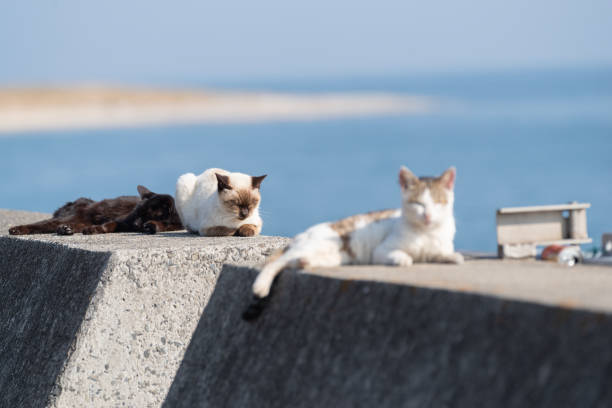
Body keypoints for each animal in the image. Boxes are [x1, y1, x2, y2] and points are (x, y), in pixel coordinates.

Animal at [251, 165, 462, 296]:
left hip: (334, 257)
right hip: (312, 246)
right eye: (417, 204)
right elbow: (399, 254)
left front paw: (451, 257)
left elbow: (439, 253)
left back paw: (304, 263)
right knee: (275, 264)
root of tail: (302, 235)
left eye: (438, 202)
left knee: (293, 262)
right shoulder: (382, 250)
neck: (427, 233)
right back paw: (261, 287)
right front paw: (402, 258)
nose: (427, 216)